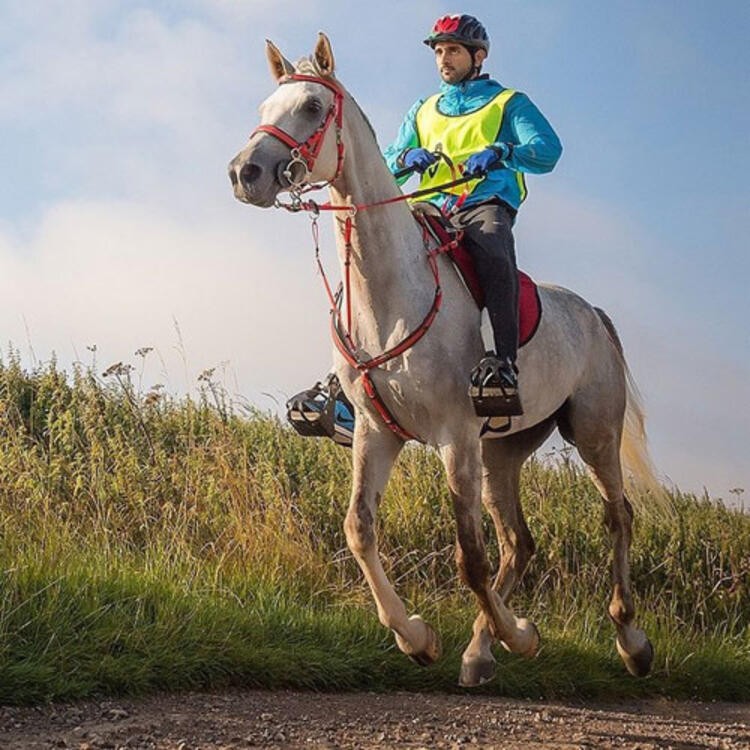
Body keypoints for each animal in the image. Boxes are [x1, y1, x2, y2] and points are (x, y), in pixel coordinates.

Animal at [231, 32, 664, 684]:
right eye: (263, 107)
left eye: (311, 106)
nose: (245, 172)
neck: (391, 294)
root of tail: (591, 313)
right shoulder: (377, 434)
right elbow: (359, 529)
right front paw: (419, 637)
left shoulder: (455, 439)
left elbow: (469, 559)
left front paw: (517, 636)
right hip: (504, 451)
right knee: (519, 542)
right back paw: (483, 649)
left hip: (592, 430)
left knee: (618, 517)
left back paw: (630, 640)